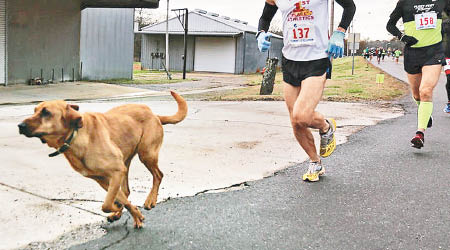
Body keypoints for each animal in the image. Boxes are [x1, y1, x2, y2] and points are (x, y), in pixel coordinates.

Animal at [18, 91, 187, 228]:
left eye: (46, 112)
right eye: (35, 111)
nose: (20, 125)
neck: (76, 135)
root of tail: (155, 115)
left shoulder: (116, 172)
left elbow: (106, 204)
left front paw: (121, 209)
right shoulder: (104, 179)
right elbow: (119, 199)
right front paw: (132, 214)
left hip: (146, 154)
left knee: (158, 175)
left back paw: (150, 200)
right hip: (126, 162)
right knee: (126, 191)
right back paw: (120, 212)